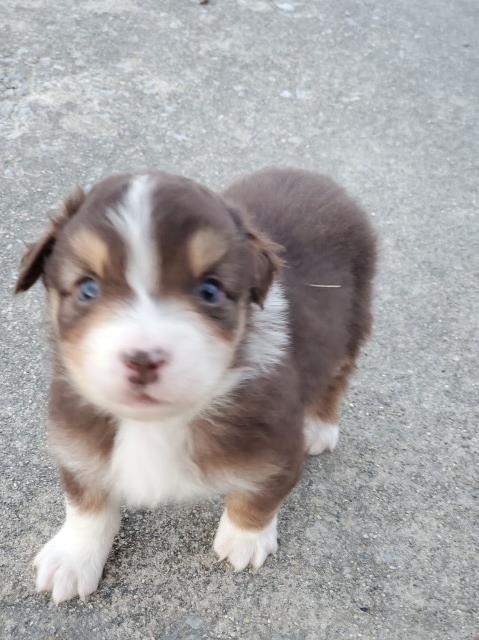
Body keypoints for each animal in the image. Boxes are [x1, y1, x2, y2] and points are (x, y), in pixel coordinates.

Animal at [15, 168, 376, 604]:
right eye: (88, 288)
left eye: (210, 290)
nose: (143, 359)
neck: (156, 423)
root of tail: (314, 176)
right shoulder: (75, 437)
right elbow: (86, 499)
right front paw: (72, 556)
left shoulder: (276, 448)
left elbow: (259, 495)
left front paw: (244, 540)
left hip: (353, 319)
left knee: (337, 376)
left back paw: (320, 427)